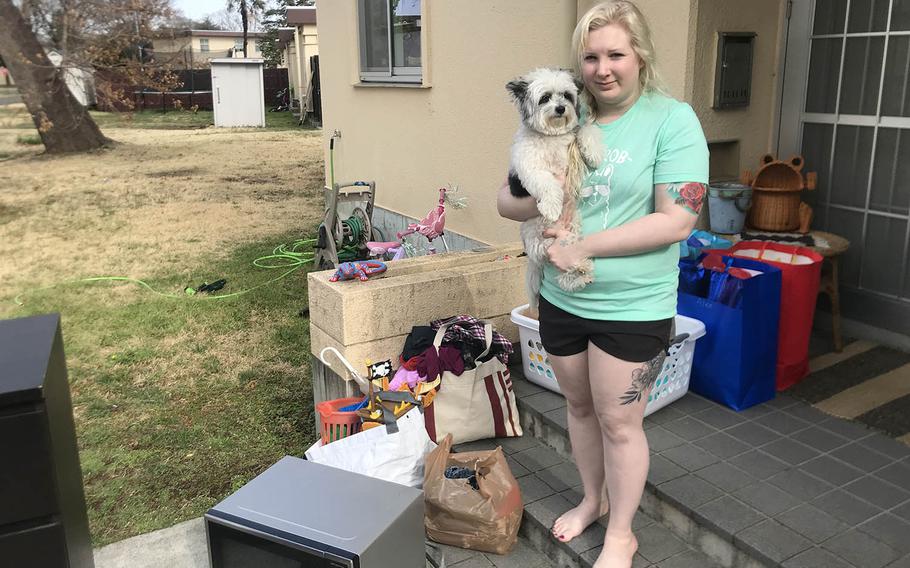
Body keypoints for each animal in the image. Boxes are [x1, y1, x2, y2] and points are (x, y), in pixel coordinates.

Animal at [510, 68, 604, 308]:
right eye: (545, 98)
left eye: (566, 95)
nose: (561, 108)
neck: (551, 135)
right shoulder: (530, 166)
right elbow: (547, 183)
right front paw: (551, 207)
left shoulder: (574, 134)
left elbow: (586, 129)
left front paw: (594, 153)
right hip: (545, 240)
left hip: (572, 233)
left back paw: (581, 273)